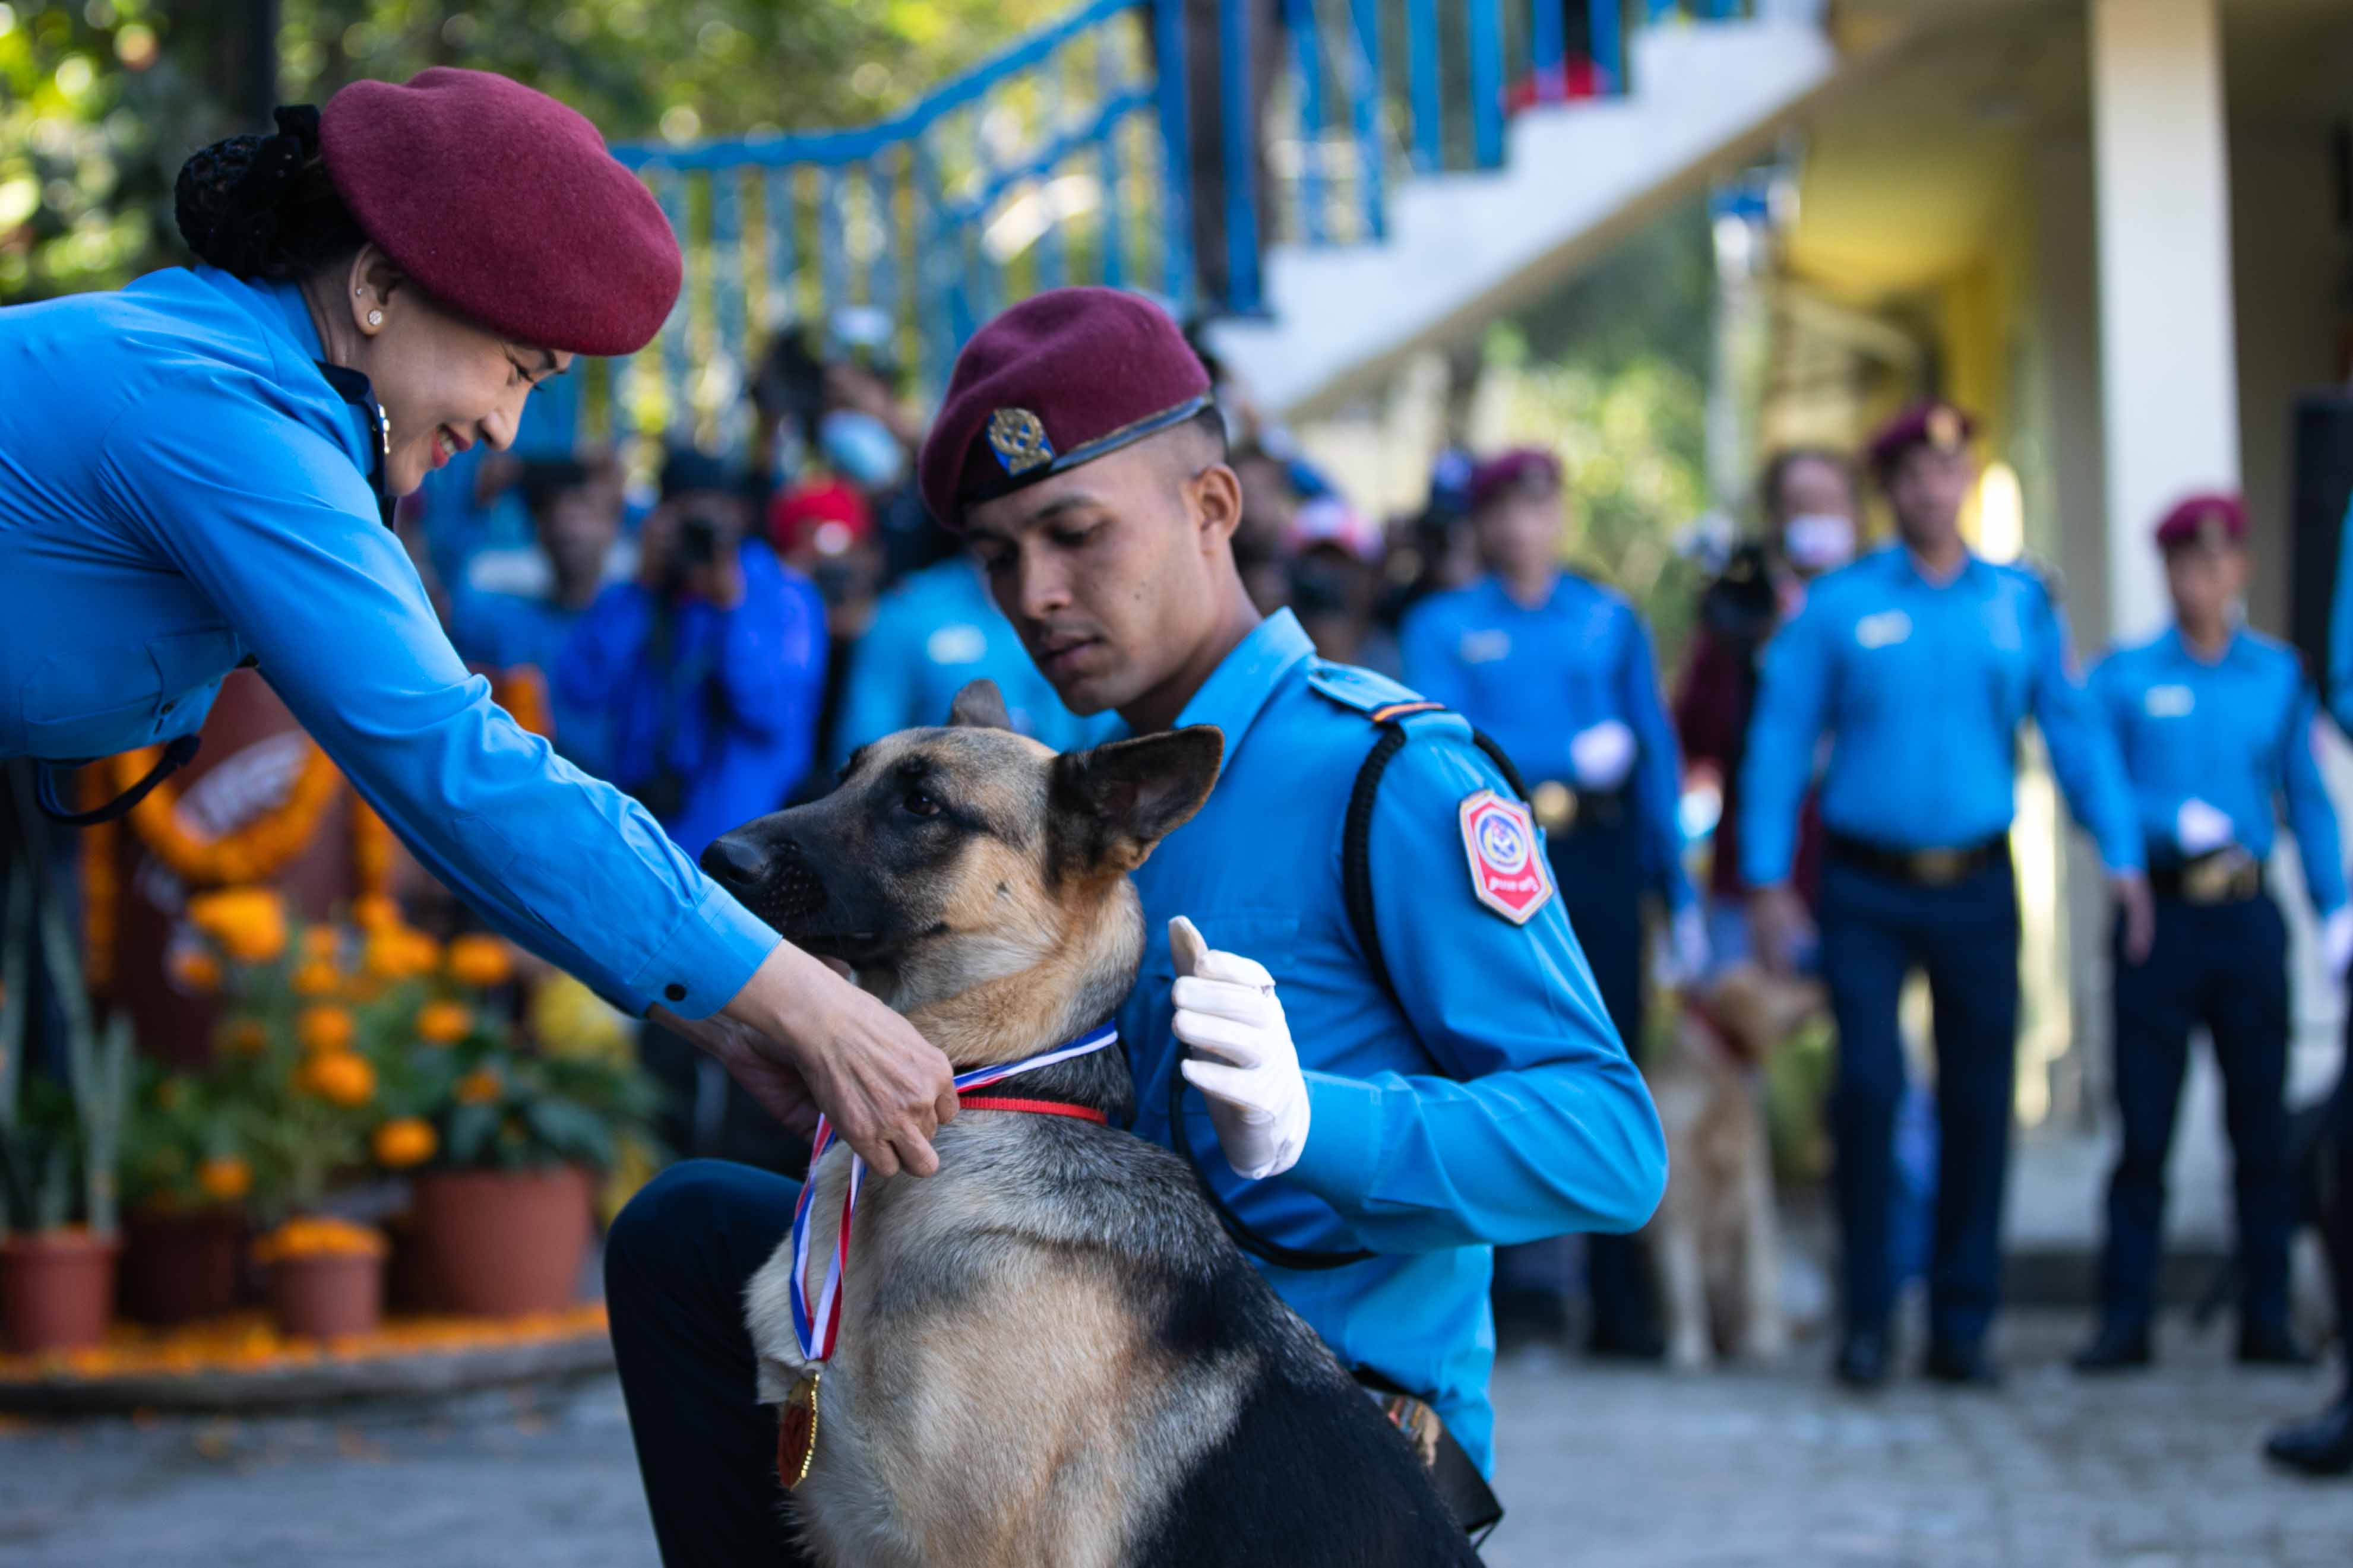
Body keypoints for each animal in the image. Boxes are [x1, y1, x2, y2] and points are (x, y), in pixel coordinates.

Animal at [1637, 964, 1816, 1363]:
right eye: (1776, 978)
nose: (1820, 985)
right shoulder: (1676, 1213)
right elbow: (1683, 1291)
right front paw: (1688, 1351)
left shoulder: (1754, 1201)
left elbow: (1757, 1284)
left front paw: (1764, 1343)